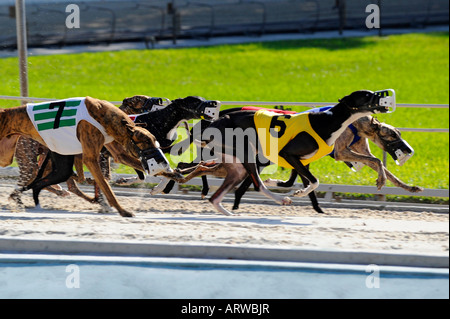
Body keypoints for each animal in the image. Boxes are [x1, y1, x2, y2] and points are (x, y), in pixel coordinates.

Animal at [0, 97, 177, 218]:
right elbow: (106, 187)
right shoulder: (91, 159)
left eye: (154, 140)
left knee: (39, 182)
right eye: (146, 142)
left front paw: (175, 174)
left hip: (13, 157)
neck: (102, 114)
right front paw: (122, 211)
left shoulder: (117, 151)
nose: (162, 160)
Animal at [176, 89, 394, 216]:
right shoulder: (290, 154)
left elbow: (308, 181)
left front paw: (298, 191)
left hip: (235, 163)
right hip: (247, 152)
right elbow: (314, 181)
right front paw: (297, 192)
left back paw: (227, 213)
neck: (330, 120)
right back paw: (280, 199)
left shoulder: (302, 162)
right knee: (257, 185)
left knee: (216, 194)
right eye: (367, 95)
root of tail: (213, 123)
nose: (386, 99)